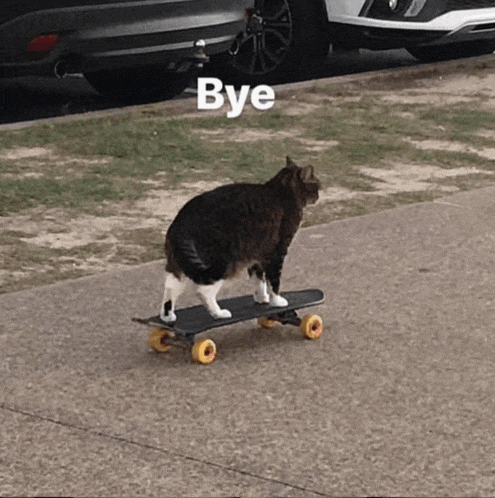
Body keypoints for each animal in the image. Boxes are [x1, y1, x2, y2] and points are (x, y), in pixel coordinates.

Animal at [160, 158, 322, 324]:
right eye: (317, 185)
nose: (318, 196)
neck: (281, 191)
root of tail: (180, 222)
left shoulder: (257, 254)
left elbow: (259, 280)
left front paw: (262, 298)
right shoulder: (277, 252)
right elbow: (274, 281)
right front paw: (277, 301)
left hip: (180, 264)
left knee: (170, 288)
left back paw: (167, 317)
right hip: (221, 263)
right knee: (203, 291)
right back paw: (219, 313)